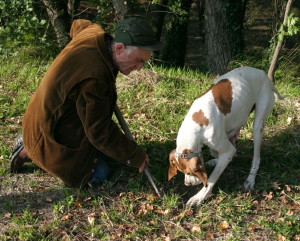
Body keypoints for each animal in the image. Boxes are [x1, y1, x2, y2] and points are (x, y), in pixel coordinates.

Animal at [169, 67, 284, 206]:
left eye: (189, 172)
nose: (188, 184)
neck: (197, 122)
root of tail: (265, 77)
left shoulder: (225, 147)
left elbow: (211, 179)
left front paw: (199, 197)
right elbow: (217, 152)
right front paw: (216, 160)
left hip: (258, 126)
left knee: (256, 158)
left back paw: (250, 179)